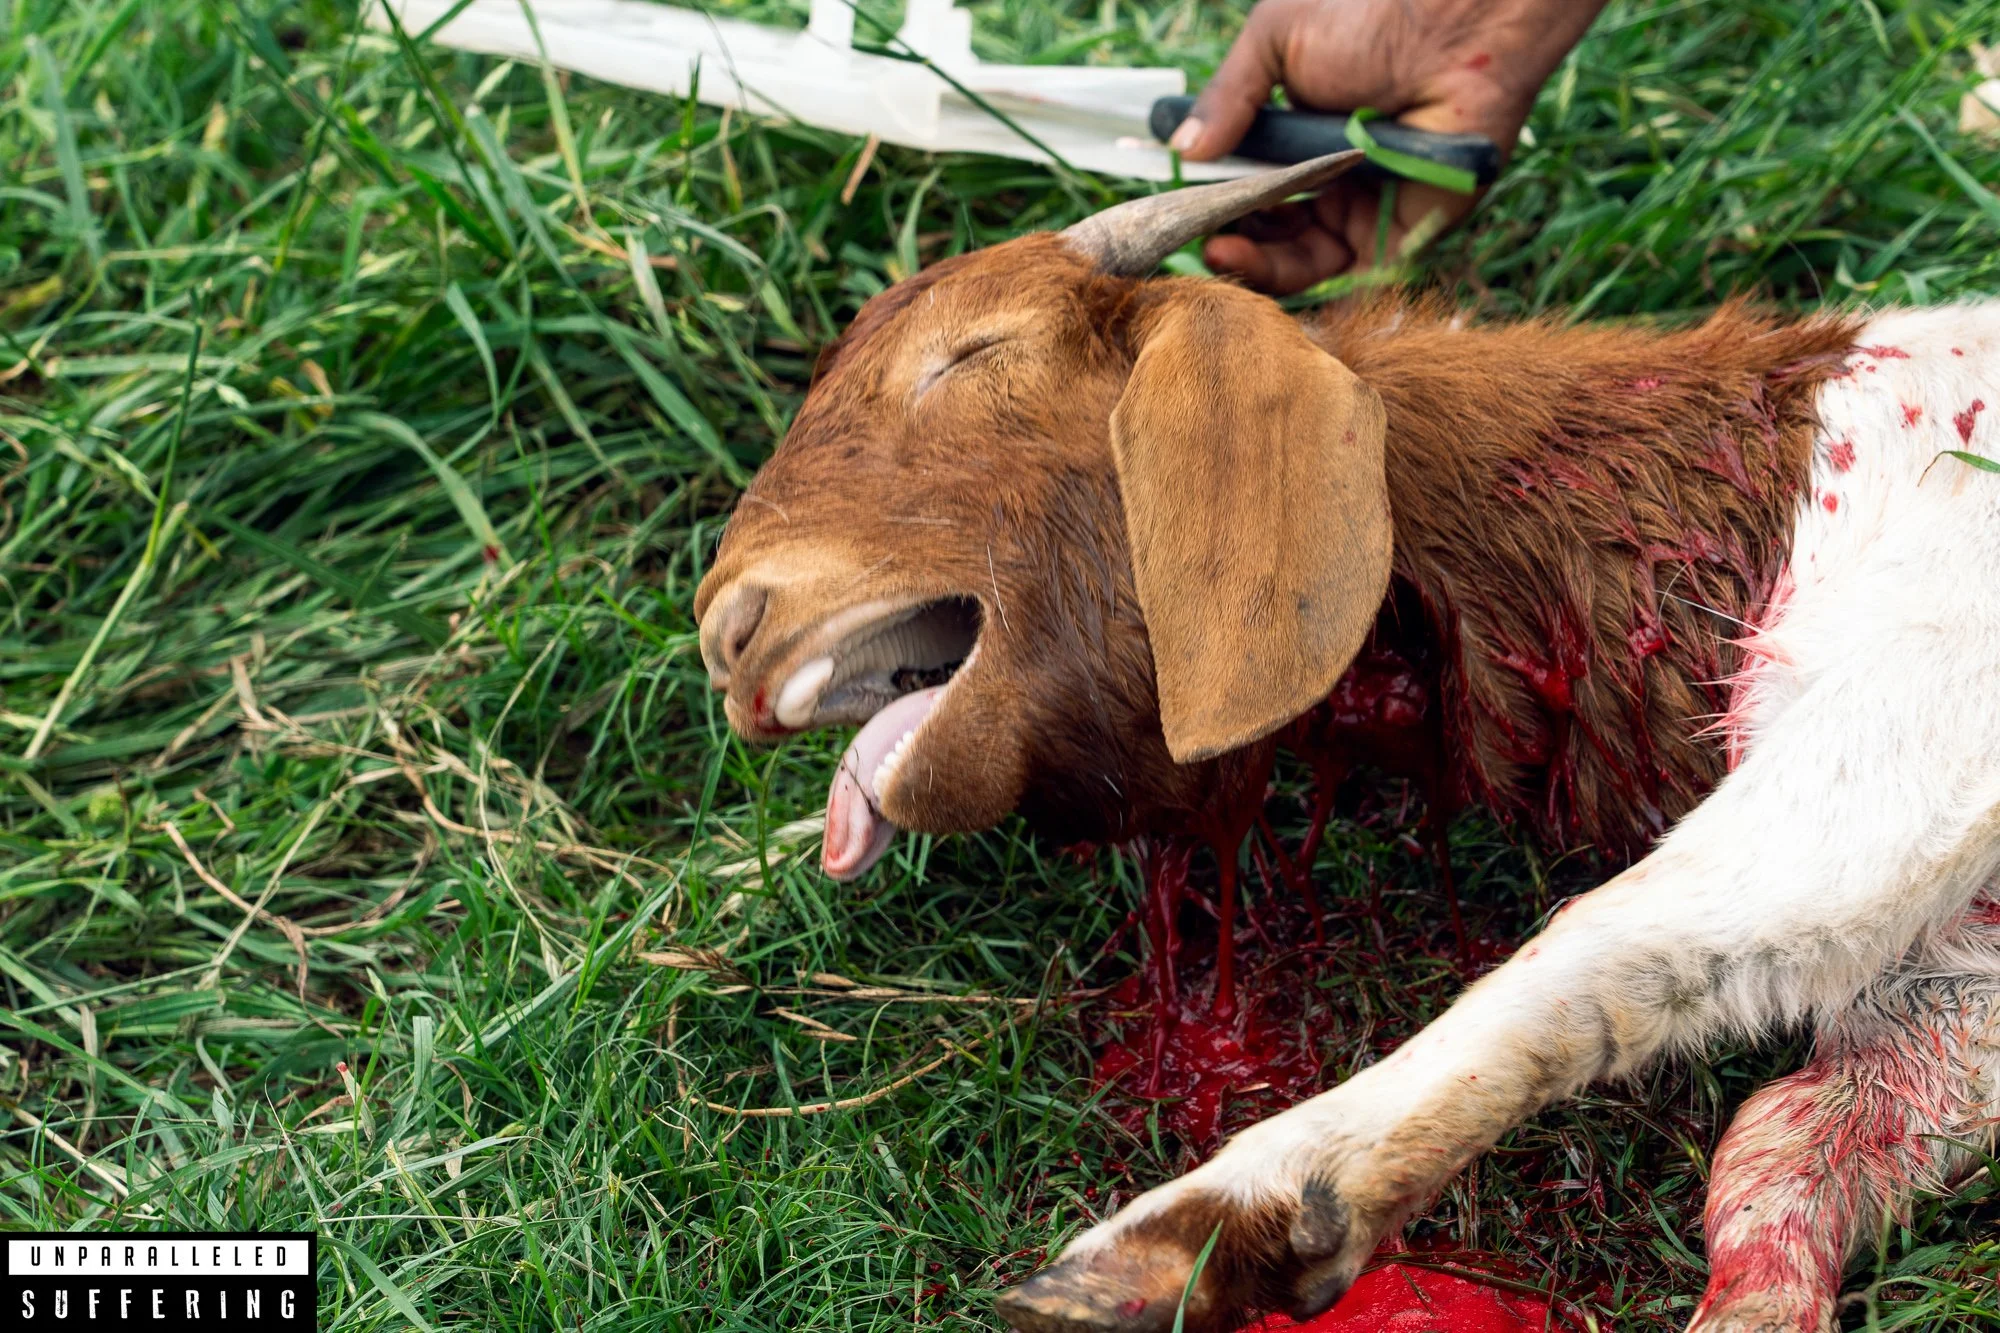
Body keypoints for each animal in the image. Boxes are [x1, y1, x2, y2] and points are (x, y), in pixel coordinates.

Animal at [691, 153, 2000, 1333]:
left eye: (971, 352)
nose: (727, 625)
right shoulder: (1956, 981)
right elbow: (1794, 1132)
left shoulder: (1917, 707)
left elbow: (1626, 943)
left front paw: (1200, 1237)